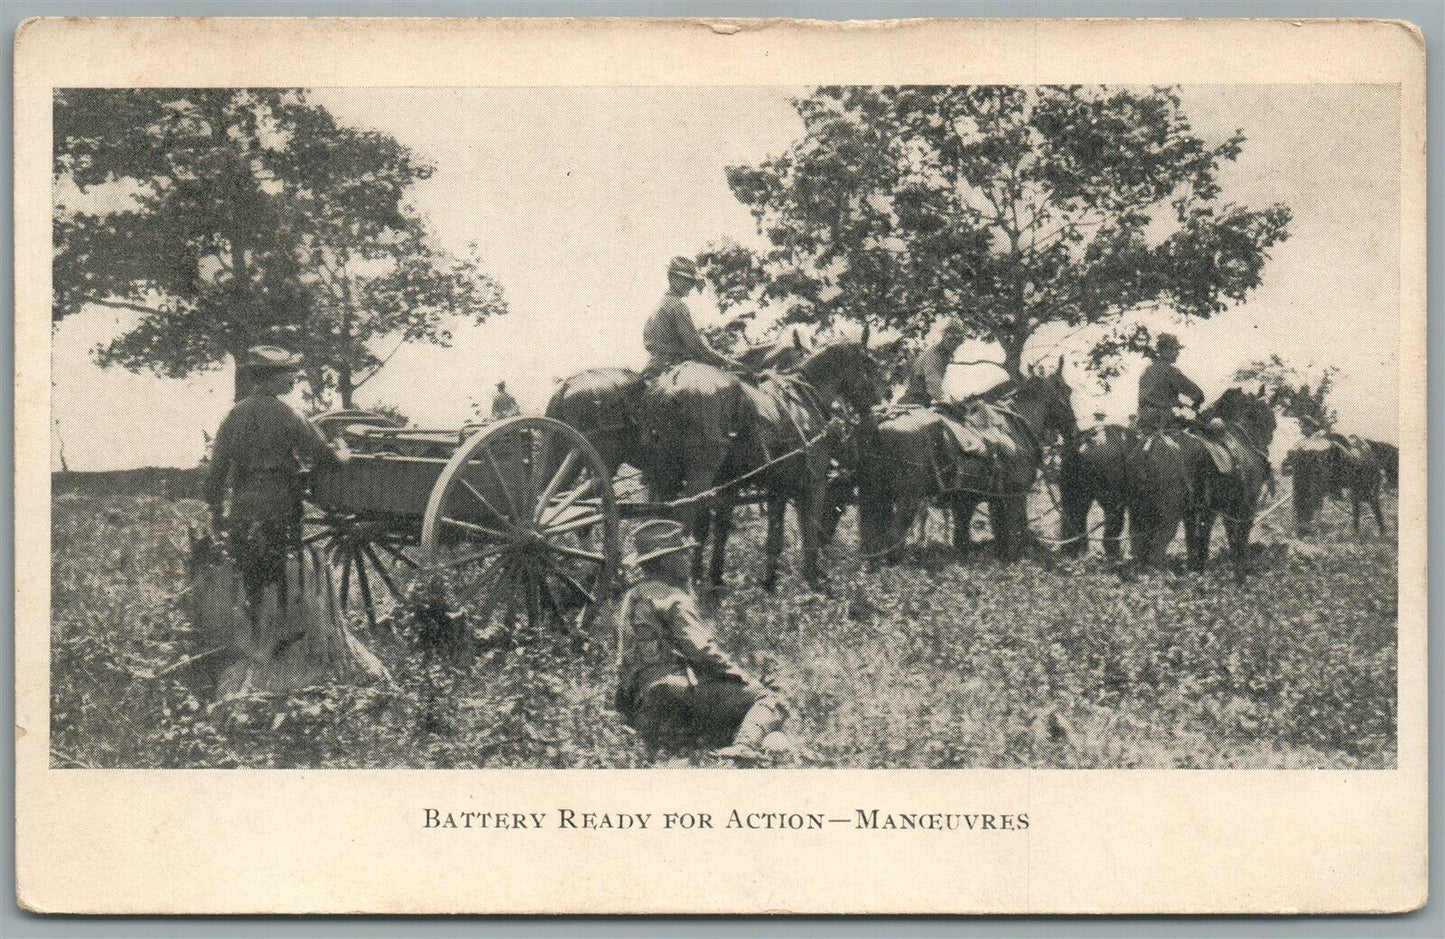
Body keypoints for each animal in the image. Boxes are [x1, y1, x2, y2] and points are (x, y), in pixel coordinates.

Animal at [641, 339, 878, 589]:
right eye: (870, 364)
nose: (883, 397)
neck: (803, 401)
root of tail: (672, 382)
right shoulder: (814, 484)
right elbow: (809, 532)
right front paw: (813, 580)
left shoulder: (776, 487)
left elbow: (772, 537)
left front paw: (768, 583)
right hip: (700, 476)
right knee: (687, 519)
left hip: (663, 474)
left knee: (658, 518)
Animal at [849, 359, 1080, 563]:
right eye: (1067, 390)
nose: (1074, 431)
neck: (1014, 427)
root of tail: (880, 421)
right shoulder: (1015, 496)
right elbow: (1014, 535)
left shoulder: (972, 501)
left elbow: (970, 540)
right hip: (909, 498)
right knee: (893, 539)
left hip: (875, 495)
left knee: (872, 542)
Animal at [1057, 421, 1132, 560]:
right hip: (1109, 494)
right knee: (1113, 517)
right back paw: (1113, 553)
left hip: (1075, 490)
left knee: (1075, 515)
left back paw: (1074, 552)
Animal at [1127, 381, 1277, 574]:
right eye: (1266, 416)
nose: (1264, 454)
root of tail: (1149, 446)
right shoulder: (1244, 507)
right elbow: (1239, 537)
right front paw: (1241, 567)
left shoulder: (1203, 510)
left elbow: (1198, 537)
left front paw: (1197, 568)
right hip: (1168, 516)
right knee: (1156, 551)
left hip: (1138, 512)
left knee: (1138, 548)